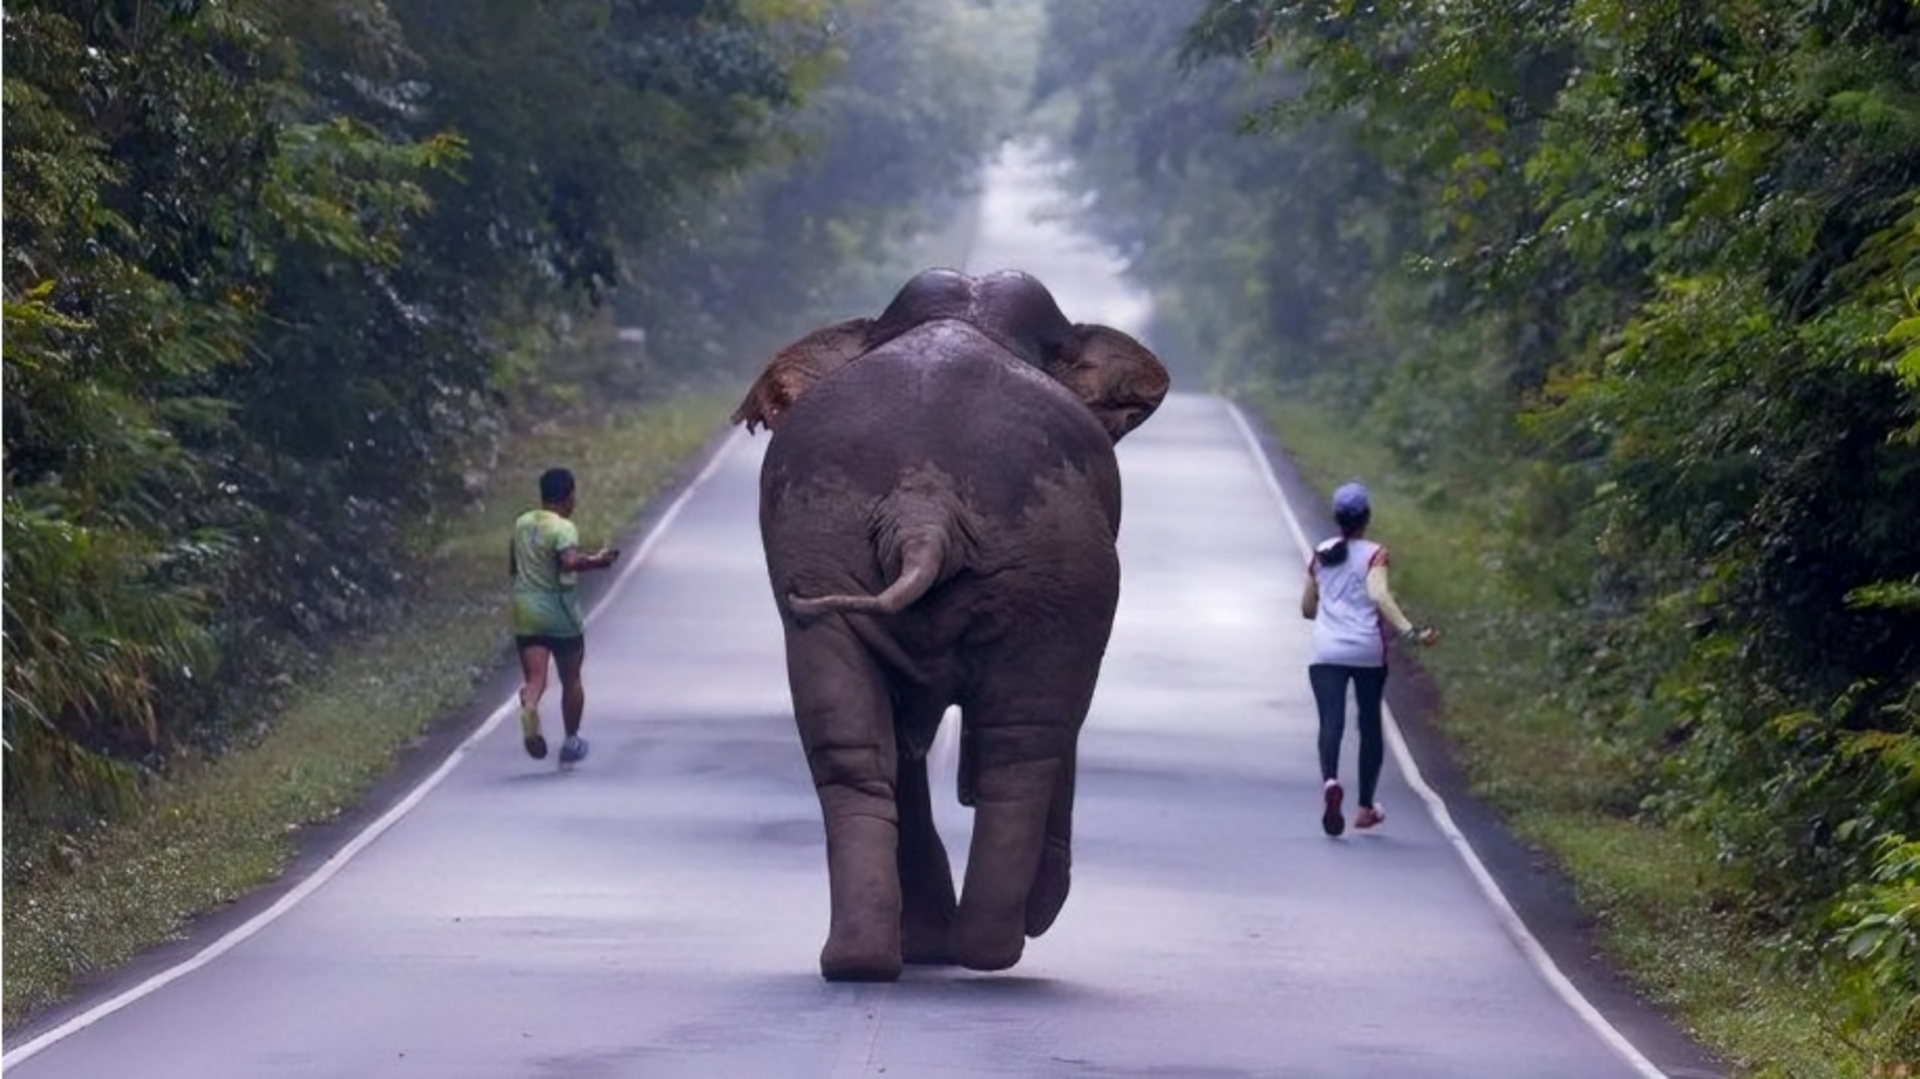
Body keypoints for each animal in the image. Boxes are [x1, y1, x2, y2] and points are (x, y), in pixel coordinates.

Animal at [725, 266, 1159, 975]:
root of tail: (921, 509)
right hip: (1056, 569)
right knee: (1027, 740)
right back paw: (991, 946)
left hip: (823, 553)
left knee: (853, 743)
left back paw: (867, 960)